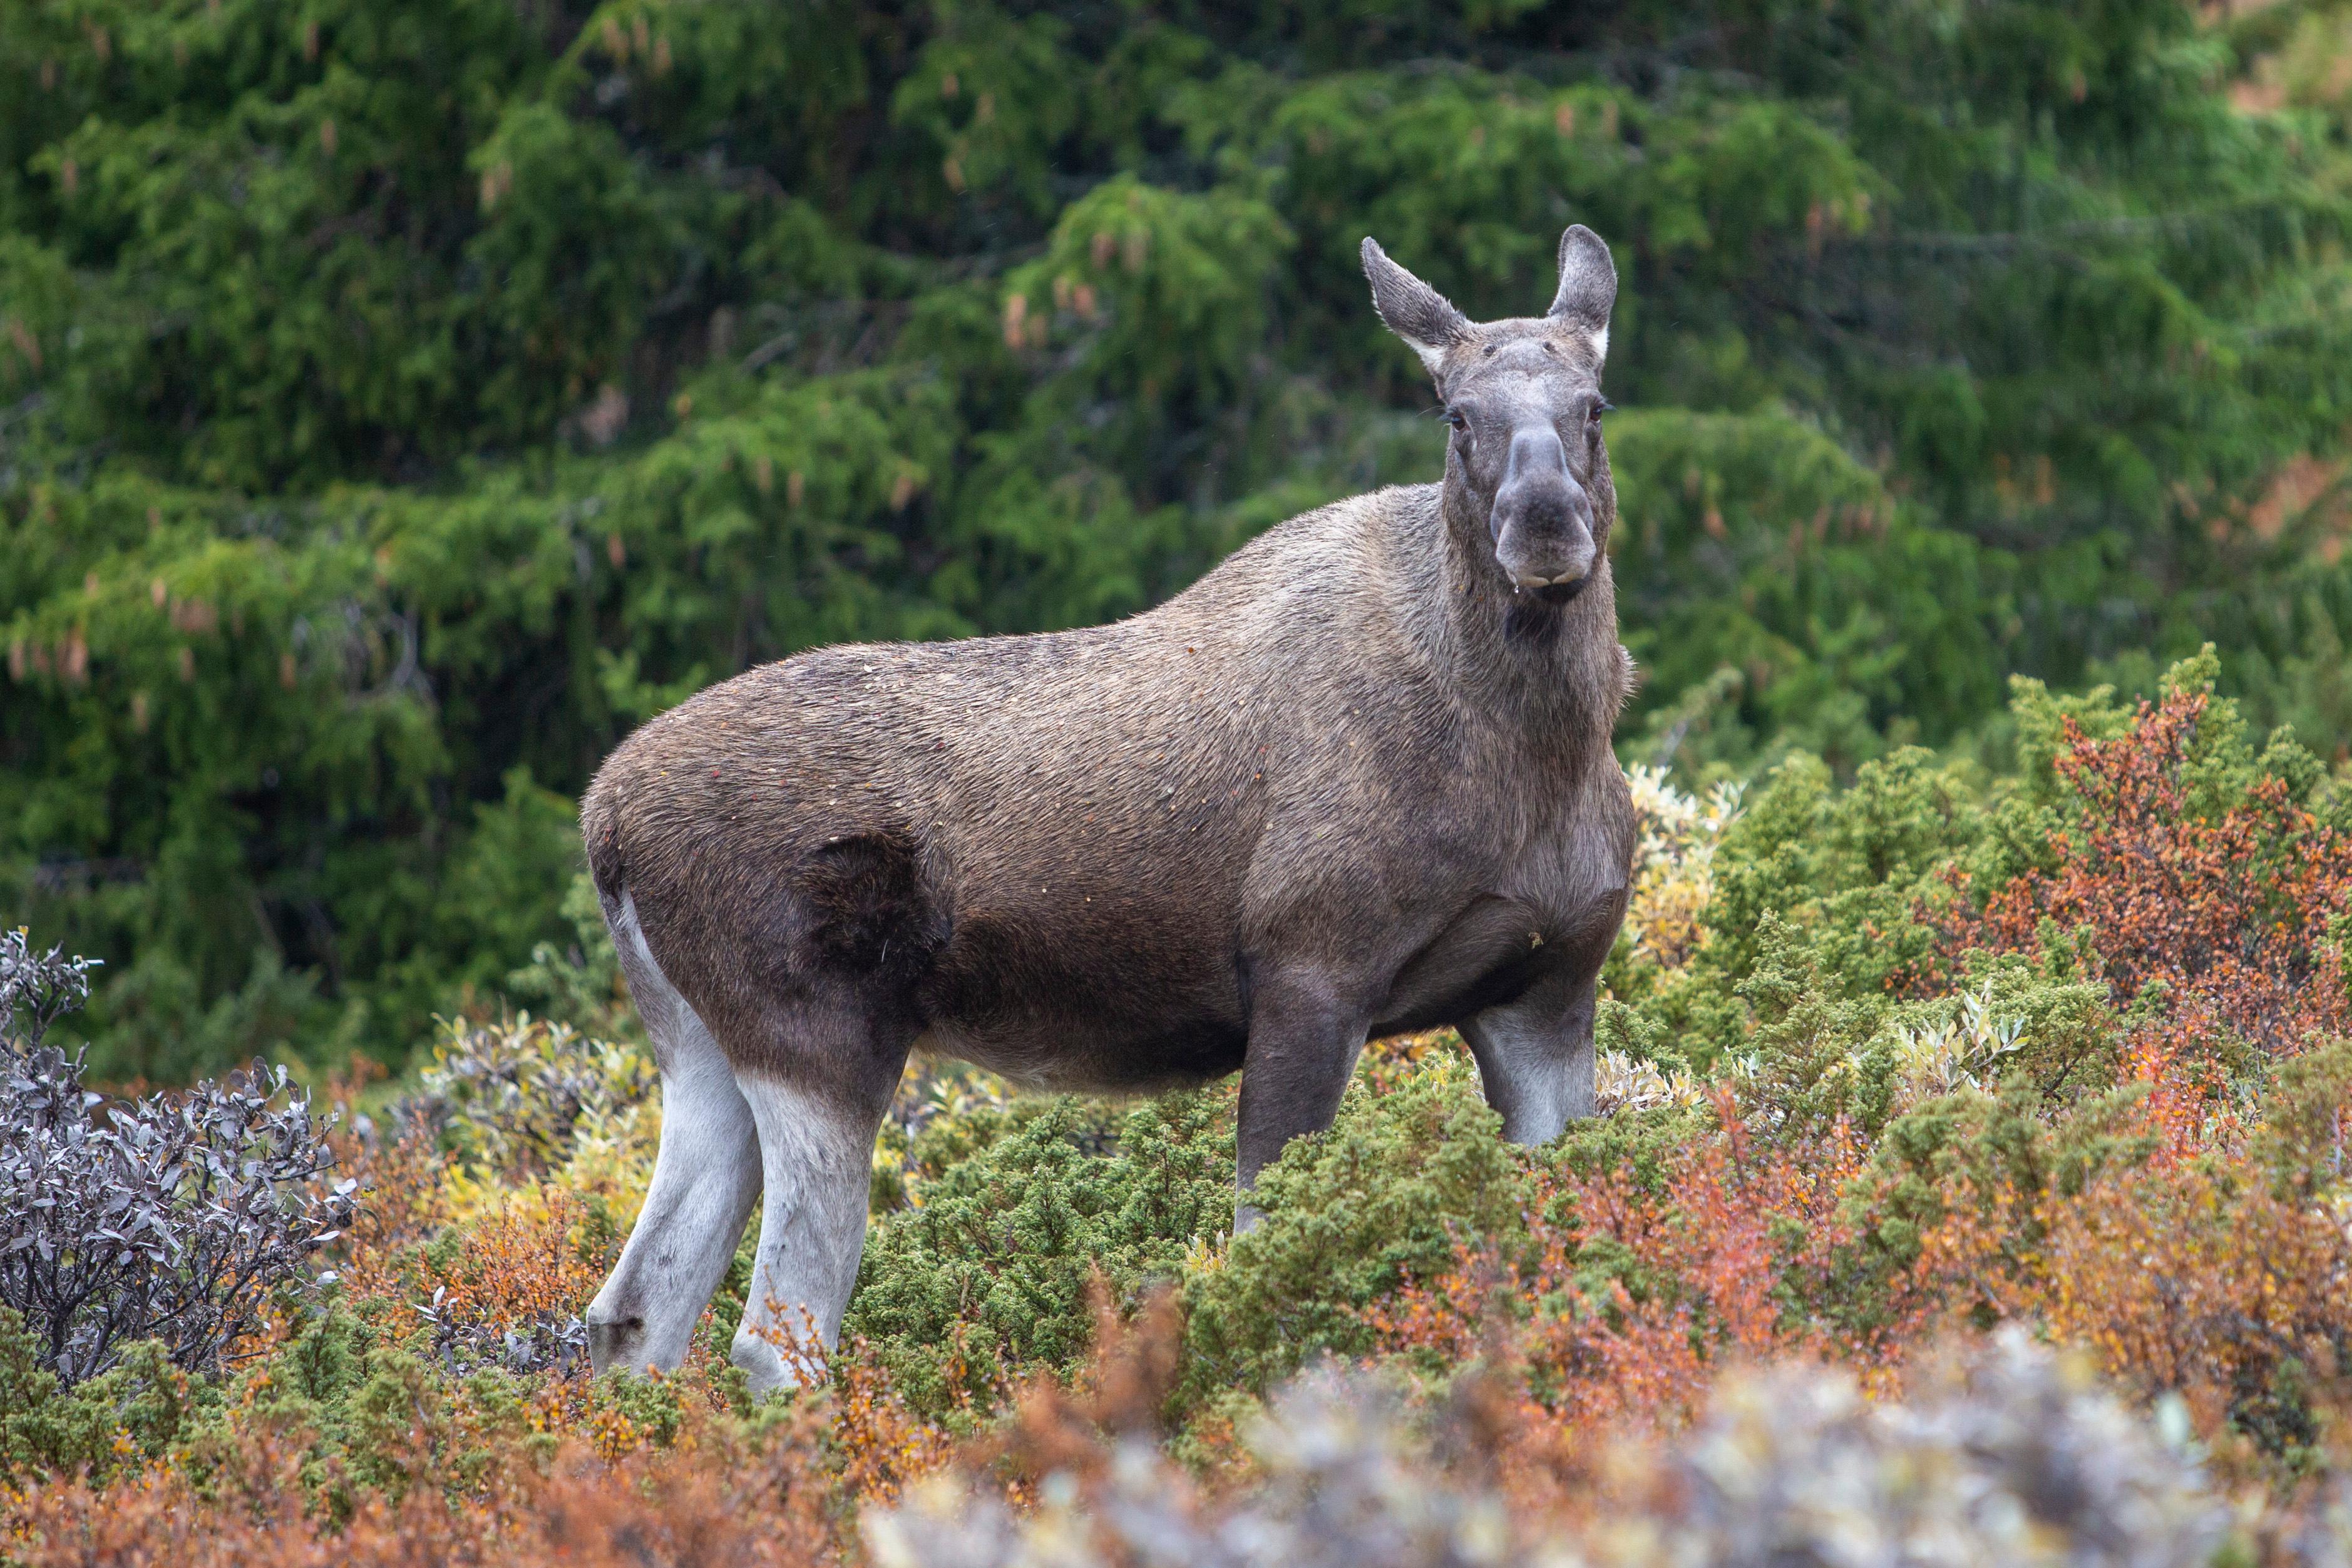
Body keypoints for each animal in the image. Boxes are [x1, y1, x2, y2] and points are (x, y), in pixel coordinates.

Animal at [583, 227, 1636, 1391]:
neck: (1534, 753)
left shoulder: (1545, 989)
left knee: (633, 1312)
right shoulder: (1311, 973)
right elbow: (1267, 1258)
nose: (1543, 523)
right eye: (1456, 416)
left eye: (1594, 404)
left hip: (699, 1051)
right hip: (817, 1036)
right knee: (772, 1336)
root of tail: (604, 820)